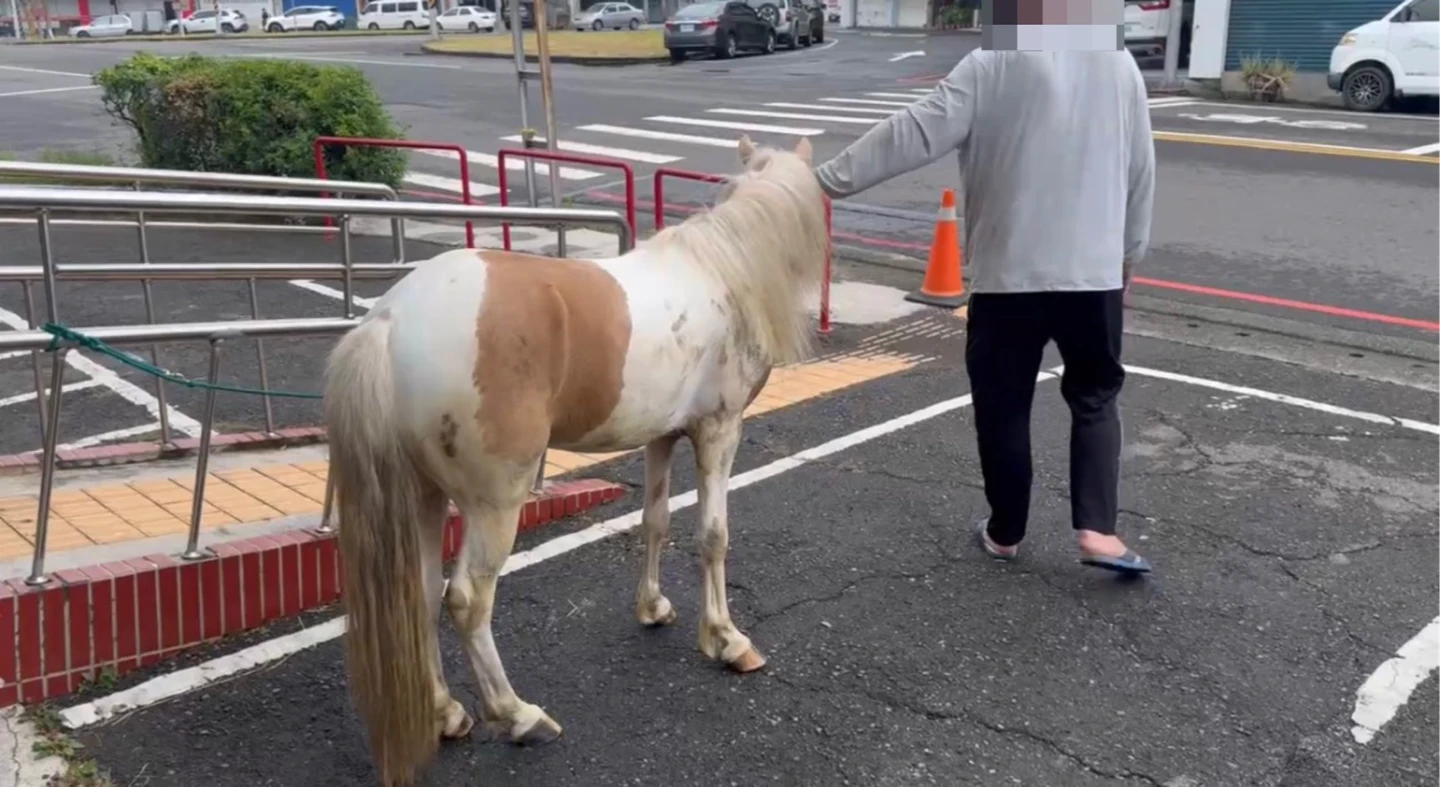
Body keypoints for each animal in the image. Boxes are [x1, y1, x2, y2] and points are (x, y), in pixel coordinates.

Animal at [323, 135, 830, 786]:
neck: (722, 272)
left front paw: (653, 608)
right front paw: (726, 640)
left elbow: (655, 522)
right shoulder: (719, 433)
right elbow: (713, 536)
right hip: (495, 503)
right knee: (466, 600)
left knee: (422, 590)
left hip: (424, 495)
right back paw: (518, 716)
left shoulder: (662, 437)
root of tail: (389, 322)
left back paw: (446, 712)